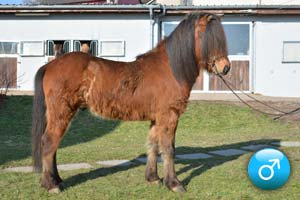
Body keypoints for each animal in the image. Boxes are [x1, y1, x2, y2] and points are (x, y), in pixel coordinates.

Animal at [32, 12, 230, 194]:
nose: (226, 67)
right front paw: (174, 184)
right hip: (62, 113)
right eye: (209, 38)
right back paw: (51, 185)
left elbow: (153, 146)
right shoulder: (169, 116)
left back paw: (56, 180)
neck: (170, 69)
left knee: (53, 145)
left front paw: (153, 178)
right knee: (49, 143)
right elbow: (168, 149)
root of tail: (50, 65)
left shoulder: (156, 119)